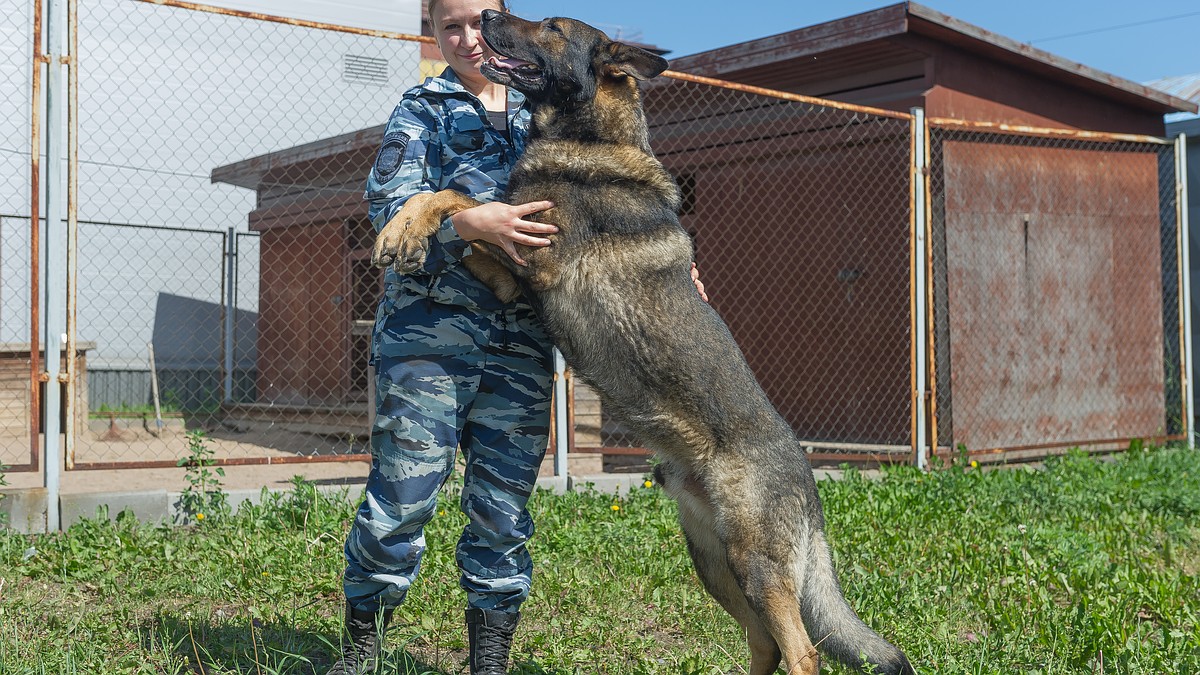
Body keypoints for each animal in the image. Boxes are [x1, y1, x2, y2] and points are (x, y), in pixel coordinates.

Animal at [374, 10, 916, 672]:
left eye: (551, 26)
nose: (486, 16)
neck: (591, 142)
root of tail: (809, 485)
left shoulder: (533, 259)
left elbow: (455, 198)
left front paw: (399, 235)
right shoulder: (508, 273)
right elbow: (449, 200)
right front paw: (403, 229)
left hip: (756, 565)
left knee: (804, 652)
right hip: (713, 562)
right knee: (764, 642)